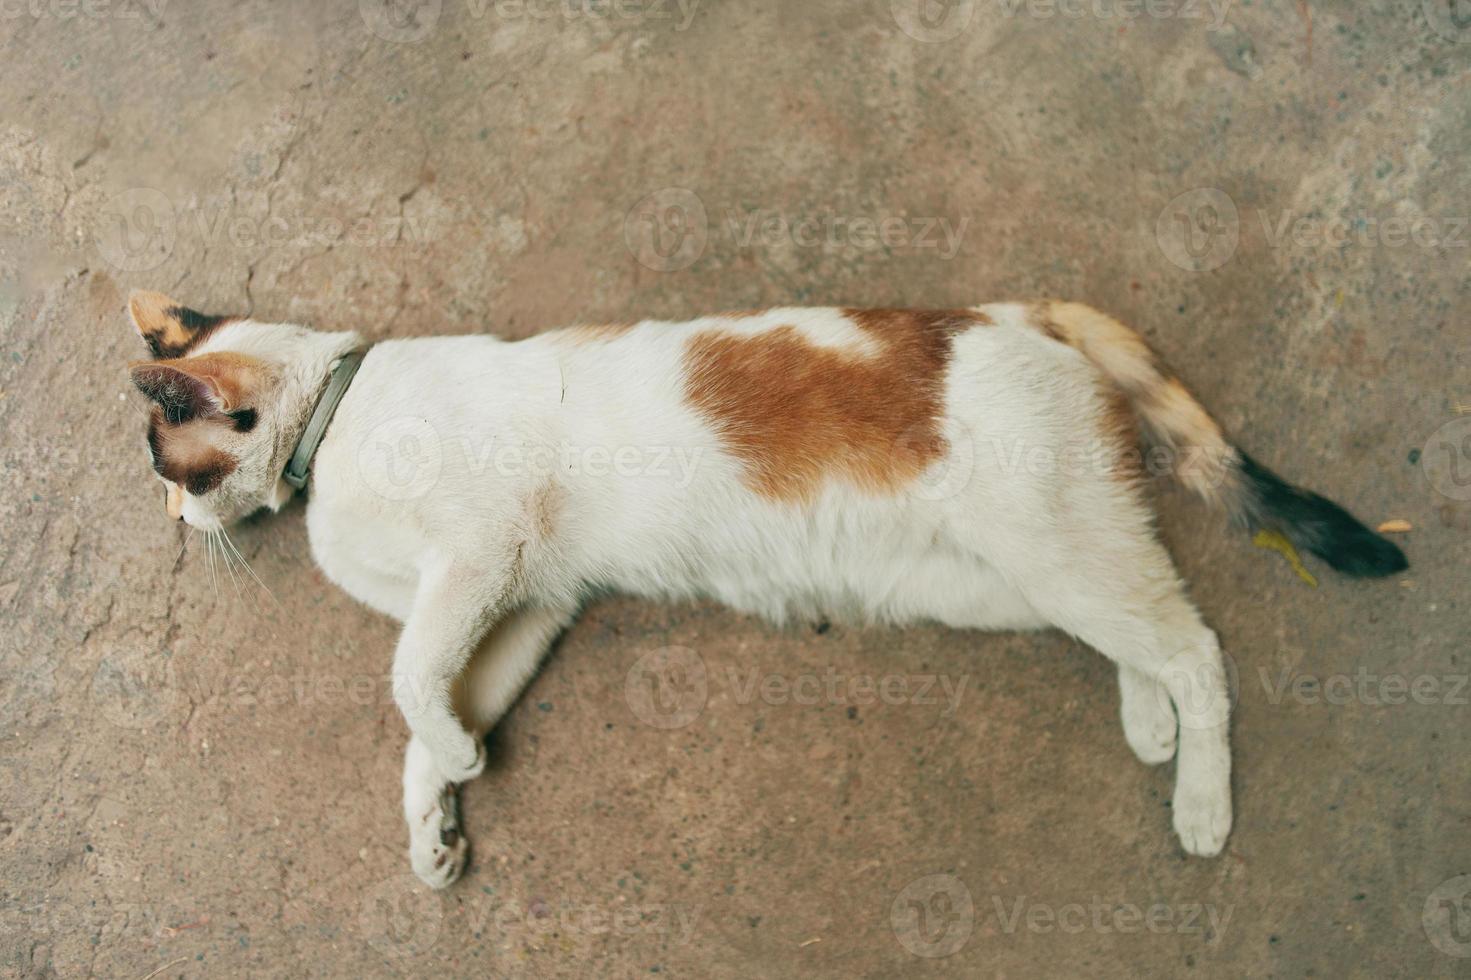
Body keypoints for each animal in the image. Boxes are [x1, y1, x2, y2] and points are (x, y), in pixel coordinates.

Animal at [123, 289, 1400, 882]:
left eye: (165, 466)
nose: (177, 527)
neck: (333, 418)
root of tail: (1007, 306)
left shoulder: (482, 556)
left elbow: (402, 677)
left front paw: (446, 767)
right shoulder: (524, 601)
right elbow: (432, 707)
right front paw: (437, 813)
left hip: (1042, 541)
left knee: (1193, 642)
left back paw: (1200, 800)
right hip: (1006, 568)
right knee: (1140, 624)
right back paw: (1149, 726)